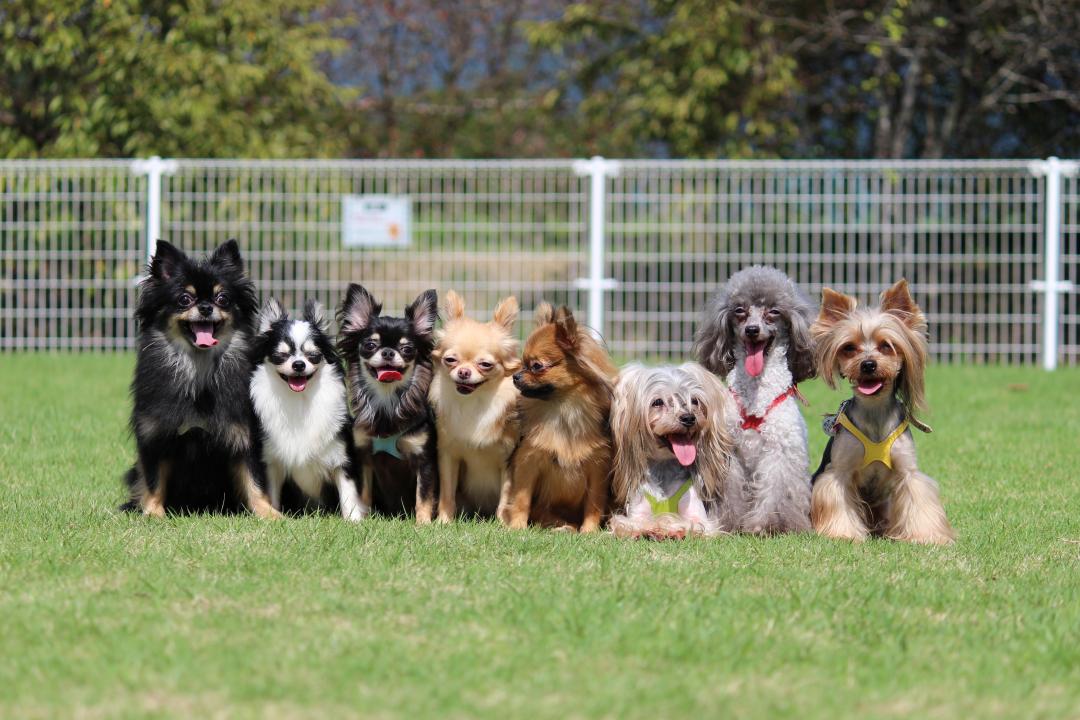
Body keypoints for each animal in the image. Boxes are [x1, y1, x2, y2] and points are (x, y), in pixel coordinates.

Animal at [691, 266, 816, 535]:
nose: (752, 330)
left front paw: (770, 525)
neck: (756, 396)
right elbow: (730, 491)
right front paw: (730, 522)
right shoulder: (730, 452)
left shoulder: (781, 451)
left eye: (774, 311)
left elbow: (778, 490)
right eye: (740, 310)